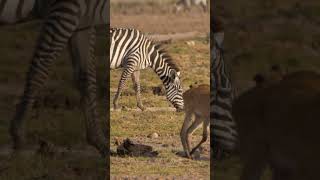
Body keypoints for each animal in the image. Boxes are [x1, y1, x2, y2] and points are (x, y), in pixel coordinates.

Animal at [0, 0, 109, 157]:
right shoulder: (64, 8)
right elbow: (39, 69)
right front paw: (18, 135)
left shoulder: (84, 20)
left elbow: (87, 77)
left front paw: (100, 142)